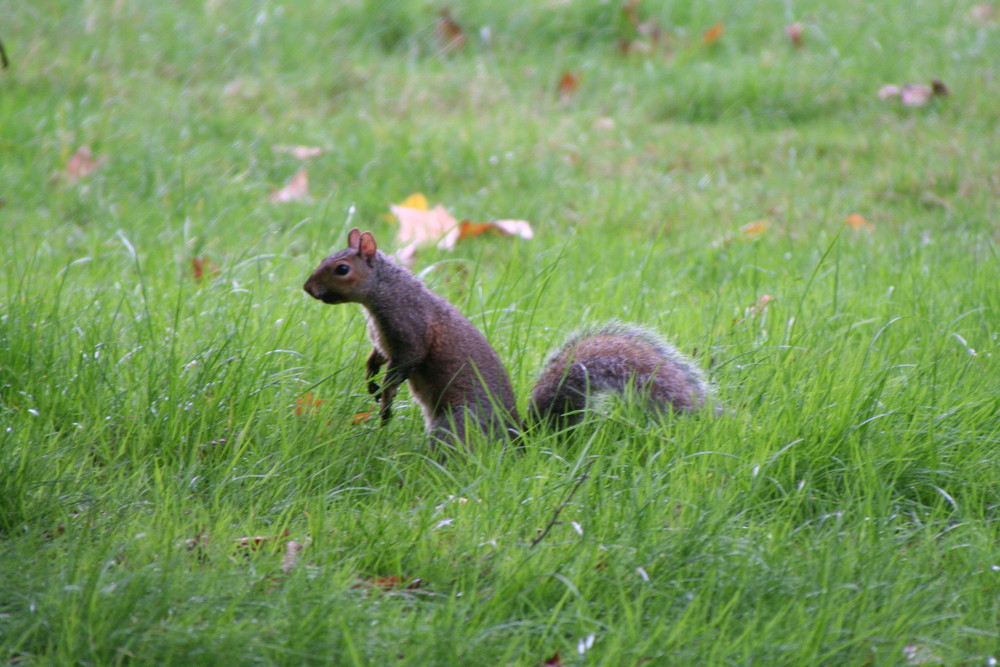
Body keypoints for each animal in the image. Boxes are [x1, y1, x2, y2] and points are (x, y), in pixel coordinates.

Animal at [304, 227, 712, 452]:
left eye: (342, 269)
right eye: (326, 258)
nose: (308, 288)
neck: (381, 295)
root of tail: (516, 437)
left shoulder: (410, 329)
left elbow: (406, 365)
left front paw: (386, 396)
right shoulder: (382, 340)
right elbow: (377, 357)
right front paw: (371, 378)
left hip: (457, 423)